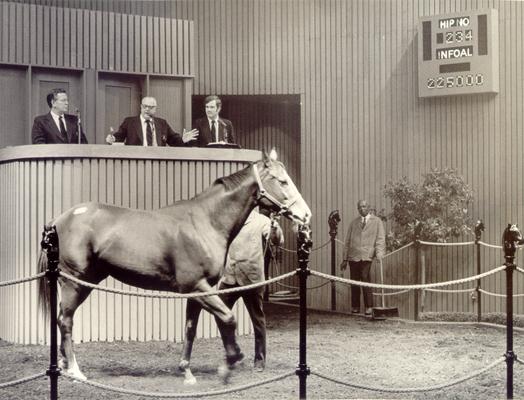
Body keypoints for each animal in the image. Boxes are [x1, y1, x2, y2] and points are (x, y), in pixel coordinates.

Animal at [40, 150, 312, 382]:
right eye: (282, 181)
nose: (306, 215)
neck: (204, 222)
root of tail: (61, 219)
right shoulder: (198, 287)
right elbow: (228, 318)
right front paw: (229, 364)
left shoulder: (198, 291)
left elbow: (191, 328)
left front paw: (187, 371)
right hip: (74, 283)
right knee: (65, 320)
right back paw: (75, 371)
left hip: (86, 282)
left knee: (62, 318)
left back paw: (64, 365)